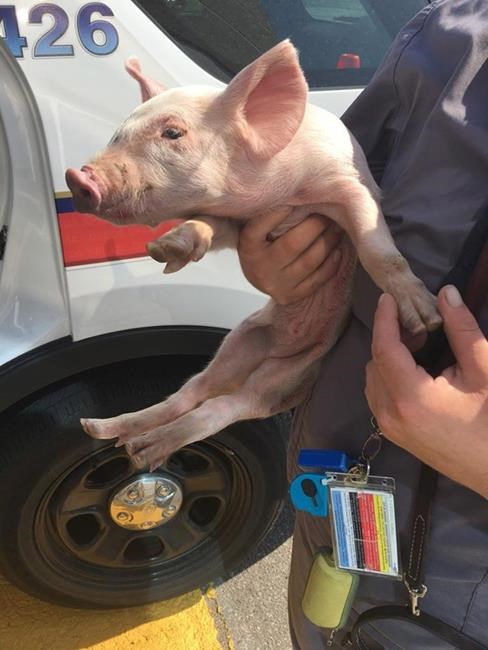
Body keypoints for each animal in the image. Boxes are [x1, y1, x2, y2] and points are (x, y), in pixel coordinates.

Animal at [65, 41, 441, 471]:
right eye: (117, 133)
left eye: (173, 133)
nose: (77, 177)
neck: (276, 196)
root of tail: (276, 348)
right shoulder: (238, 223)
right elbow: (206, 227)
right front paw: (166, 250)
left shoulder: (350, 184)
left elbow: (376, 249)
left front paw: (426, 319)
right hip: (239, 342)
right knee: (191, 392)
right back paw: (106, 432)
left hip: (290, 376)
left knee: (225, 406)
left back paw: (141, 449)